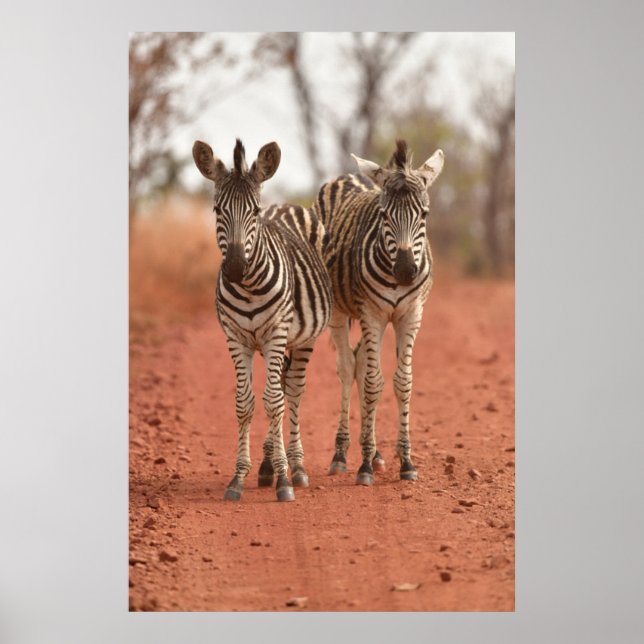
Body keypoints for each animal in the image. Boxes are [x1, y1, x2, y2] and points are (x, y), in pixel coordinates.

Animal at [192, 138, 332, 502]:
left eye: (254, 212)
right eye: (217, 211)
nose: (234, 268)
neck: (249, 287)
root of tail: (284, 206)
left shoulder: (275, 335)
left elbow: (273, 402)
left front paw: (285, 479)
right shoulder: (235, 337)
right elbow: (245, 403)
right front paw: (239, 477)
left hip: (303, 339)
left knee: (292, 391)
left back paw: (295, 466)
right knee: (281, 388)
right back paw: (269, 465)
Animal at [314, 140, 445, 485]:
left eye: (424, 214)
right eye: (384, 214)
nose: (405, 271)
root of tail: (347, 176)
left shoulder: (410, 314)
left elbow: (403, 382)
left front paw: (405, 461)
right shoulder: (371, 313)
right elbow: (373, 383)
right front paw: (364, 467)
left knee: (360, 362)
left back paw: (373, 451)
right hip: (340, 312)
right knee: (348, 368)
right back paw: (342, 454)